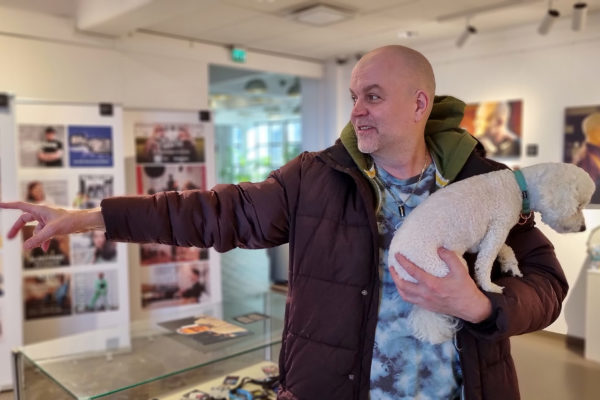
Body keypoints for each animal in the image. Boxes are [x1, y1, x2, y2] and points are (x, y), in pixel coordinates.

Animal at [390, 162, 596, 344]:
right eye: (578, 206)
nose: (583, 228)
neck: (518, 186)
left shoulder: (485, 237)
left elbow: (505, 248)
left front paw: (510, 265)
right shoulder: (499, 227)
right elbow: (485, 262)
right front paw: (489, 286)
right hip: (440, 267)